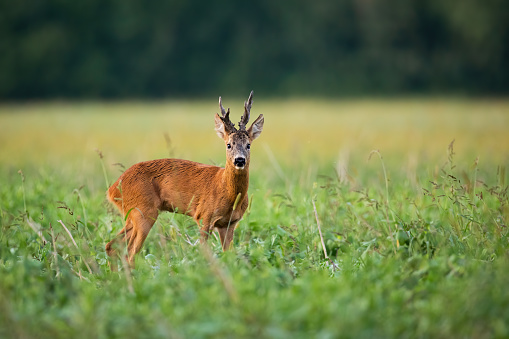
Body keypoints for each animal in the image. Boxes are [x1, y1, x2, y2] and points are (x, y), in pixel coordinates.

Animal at [105, 91, 264, 266]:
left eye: (248, 145)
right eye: (229, 144)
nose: (239, 160)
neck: (227, 191)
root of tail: (112, 189)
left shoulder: (229, 224)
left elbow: (228, 255)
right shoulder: (204, 216)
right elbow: (204, 251)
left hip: (132, 214)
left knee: (112, 246)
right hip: (143, 212)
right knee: (130, 253)